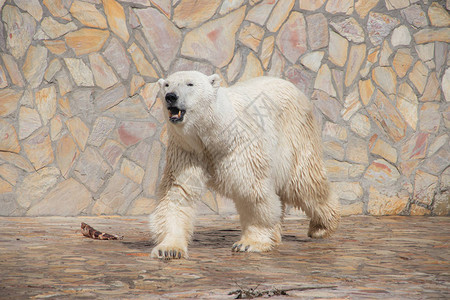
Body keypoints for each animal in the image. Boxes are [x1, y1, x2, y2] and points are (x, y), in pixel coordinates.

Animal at [149, 71, 340, 258]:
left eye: (190, 84)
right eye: (167, 84)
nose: (170, 96)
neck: (216, 133)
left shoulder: (242, 146)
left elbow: (252, 191)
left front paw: (249, 244)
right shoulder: (187, 151)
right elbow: (178, 191)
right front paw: (169, 248)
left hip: (295, 135)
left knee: (304, 182)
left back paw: (321, 227)